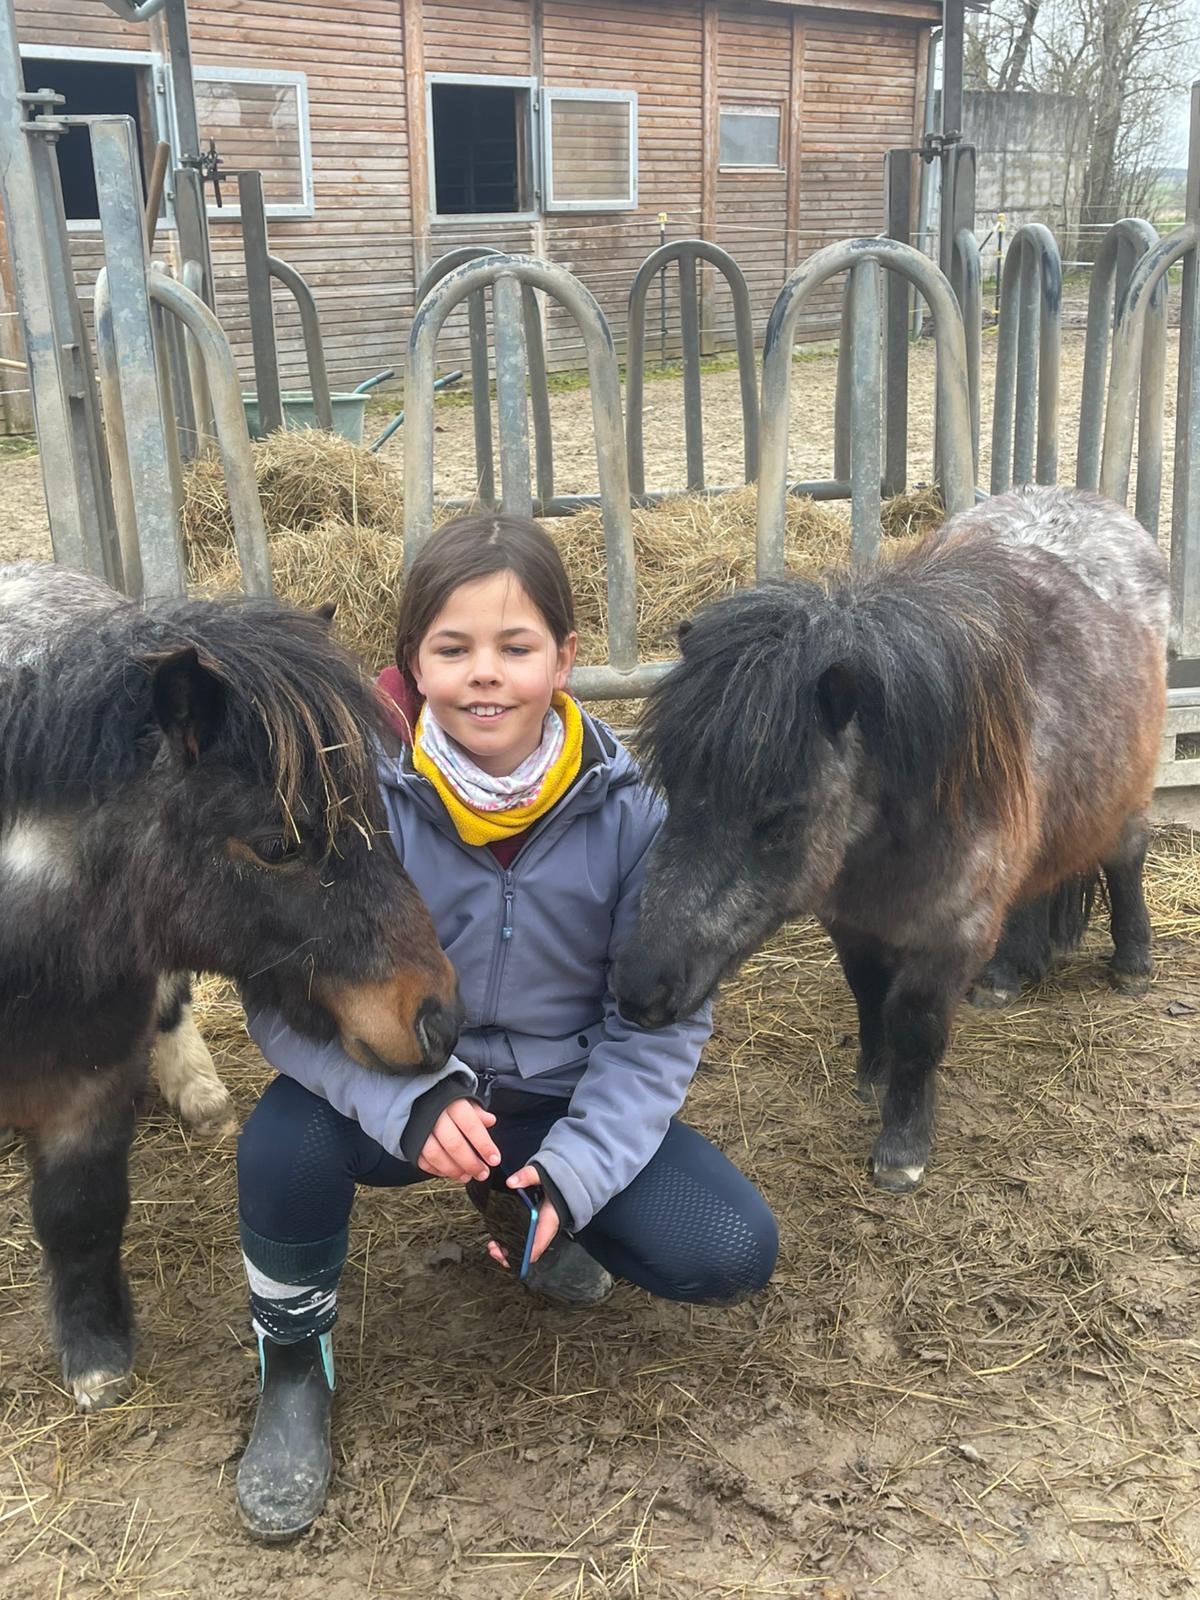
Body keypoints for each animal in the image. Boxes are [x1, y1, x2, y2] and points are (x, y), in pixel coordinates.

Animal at [614, 486, 1168, 1193]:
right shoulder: (850, 919)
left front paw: (902, 1147)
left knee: (1125, 862)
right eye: (676, 790)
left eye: (781, 819)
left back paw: (1132, 965)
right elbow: (868, 989)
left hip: (1126, 798)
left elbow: (918, 1024)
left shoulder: (950, 933)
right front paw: (872, 1076)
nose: (640, 990)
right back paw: (1004, 977)